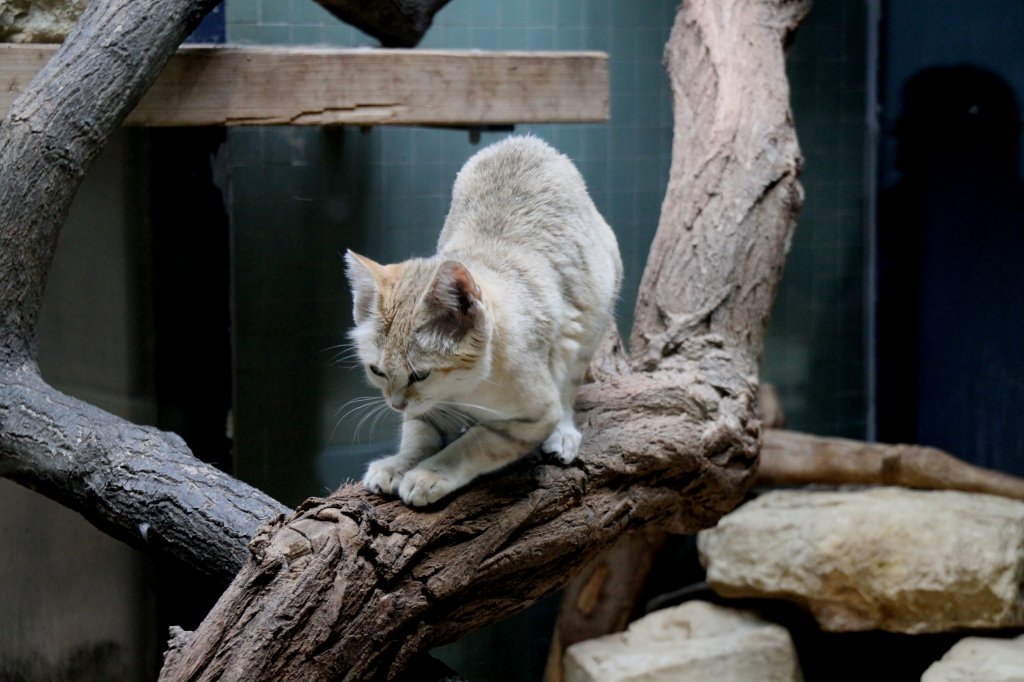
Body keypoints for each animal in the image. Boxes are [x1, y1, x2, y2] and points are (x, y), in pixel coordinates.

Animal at [344, 134, 618, 503]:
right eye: (377, 371)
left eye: (420, 374)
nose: (396, 404)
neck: (462, 390)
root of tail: (526, 141)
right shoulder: (428, 409)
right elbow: (418, 433)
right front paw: (398, 463)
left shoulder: (534, 414)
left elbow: (475, 445)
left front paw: (429, 474)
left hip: (587, 327)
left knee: (567, 386)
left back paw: (563, 434)